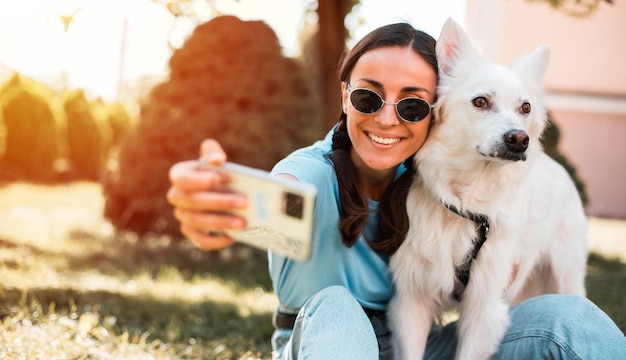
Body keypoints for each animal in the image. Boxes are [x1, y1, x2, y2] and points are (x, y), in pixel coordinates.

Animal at [388, 19, 588, 360]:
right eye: (480, 101)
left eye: (525, 107)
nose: (520, 140)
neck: (466, 198)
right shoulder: (411, 302)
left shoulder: (484, 308)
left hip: (566, 276)